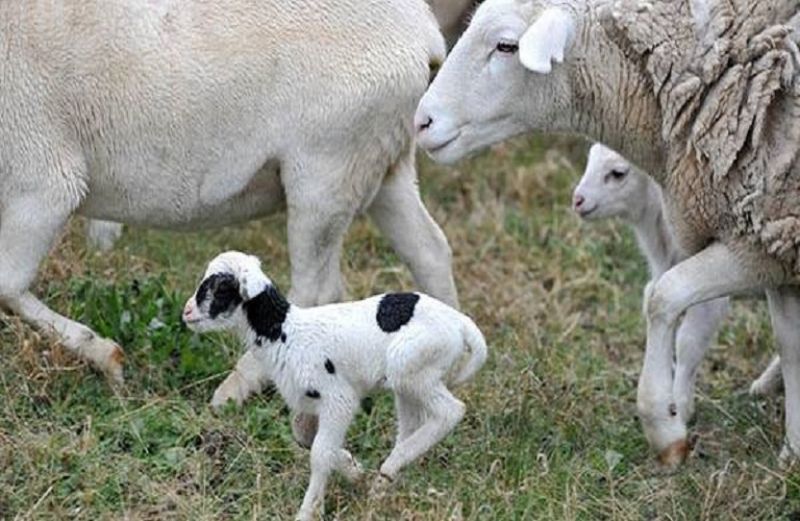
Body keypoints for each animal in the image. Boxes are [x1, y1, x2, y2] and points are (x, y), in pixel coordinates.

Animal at [182, 250, 488, 516]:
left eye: (221, 288)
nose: (186, 312)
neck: (284, 332)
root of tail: (462, 324)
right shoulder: (309, 401)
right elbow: (307, 439)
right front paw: (354, 469)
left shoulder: (339, 399)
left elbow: (319, 452)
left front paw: (308, 512)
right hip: (408, 379)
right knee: (410, 424)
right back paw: (382, 484)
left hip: (413, 368)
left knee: (450, 411)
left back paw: (390, 468)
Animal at [416, 0, 800, 466]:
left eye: (506, 46)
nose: (421, 122)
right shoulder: (772, 248)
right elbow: (791, 345)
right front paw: (794, 449)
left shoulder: (760, 241)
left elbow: (664, 297)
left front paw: (665, 422)